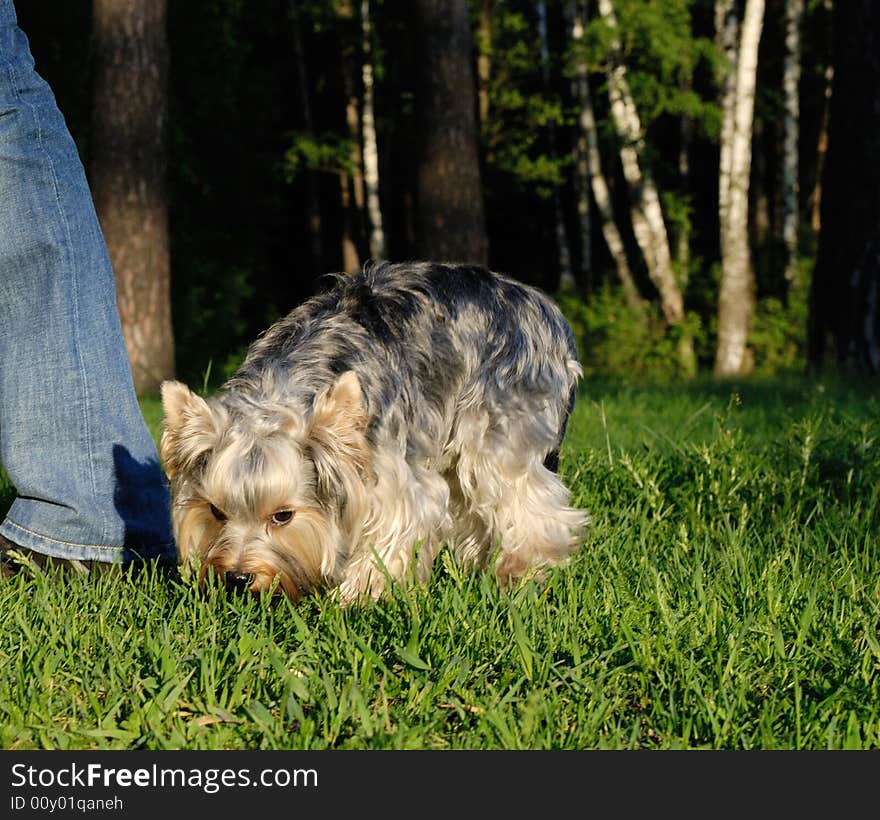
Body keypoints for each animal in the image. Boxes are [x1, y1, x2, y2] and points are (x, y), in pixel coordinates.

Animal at [162, 262, 592, 604]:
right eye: (216, 511)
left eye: (283, 516)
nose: (237, 576)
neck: (282, 392)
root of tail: (547, 309)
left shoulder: (389, 473)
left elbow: (393, 531)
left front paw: (356, 598)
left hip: (501, 425)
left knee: (526, 498)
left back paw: (521, 573)